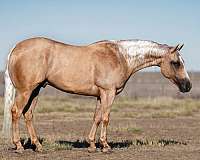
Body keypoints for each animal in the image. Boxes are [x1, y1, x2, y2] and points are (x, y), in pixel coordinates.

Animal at [1, 37, 192, 153]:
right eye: (176, 63)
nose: (188, 86)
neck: (121, 56)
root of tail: (16, 48)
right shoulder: (109, 93)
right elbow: (106, 118)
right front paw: (105, 146)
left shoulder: (101, 95)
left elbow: (97, 117)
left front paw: (92, 145)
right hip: (26, 91)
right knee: (16, 112)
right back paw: (19, 146)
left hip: (36, 90)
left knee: (28, 114)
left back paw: (38, 146)